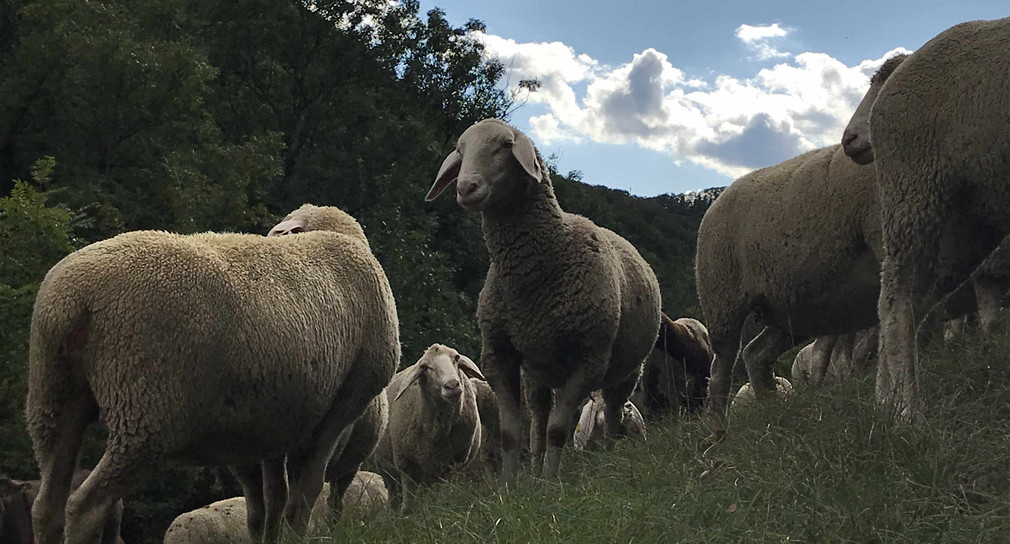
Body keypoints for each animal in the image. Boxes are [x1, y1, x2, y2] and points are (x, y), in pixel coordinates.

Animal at [27, 203, 397, 544]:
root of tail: (73, 299)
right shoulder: (340, 407)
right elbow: (303, 494)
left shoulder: (275, 425)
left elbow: (274, 499)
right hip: (147, 408)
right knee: (86, 506)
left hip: (53, 395)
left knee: (47, 506)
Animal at [373, 345, 486, 514]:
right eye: (425, 367)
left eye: (456, 358)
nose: (452, 385)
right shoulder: (406, 463)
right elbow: (409, 502)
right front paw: (407, 515)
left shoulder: (451, 465)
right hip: (386, 468)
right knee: (394, 494)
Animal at [426, 118, 662, 484]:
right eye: (461, 151)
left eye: (506, 145)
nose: (466, 187)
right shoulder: (499, 354)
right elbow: (512, 433)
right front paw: (509, 487)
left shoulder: (586, 361)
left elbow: (558, 431)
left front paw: (552, 484)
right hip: (537, 369)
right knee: (539, 416)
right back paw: (535, 469)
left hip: (626, 371)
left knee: (612, 415)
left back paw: (606, 461)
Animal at [840, 15, 1010, 417]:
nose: (848, 140)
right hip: (914, 193)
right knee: (895, 300)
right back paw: (905, 414)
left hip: (966, 222)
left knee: (913, 301)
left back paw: (888, 404)